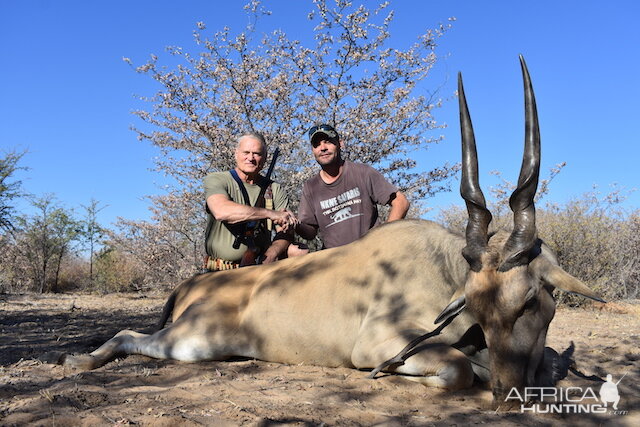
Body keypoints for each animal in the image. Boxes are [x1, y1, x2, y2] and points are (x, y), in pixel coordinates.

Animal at [62, 56, 604, 404]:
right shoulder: (381, 345)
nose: (509, 395)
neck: (440, 269)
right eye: (478, 305)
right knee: (128, 334)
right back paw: (78, 362)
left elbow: (552, 361)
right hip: (193, 343)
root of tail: (195, 284)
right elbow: (454, 368)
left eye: (531, 301)